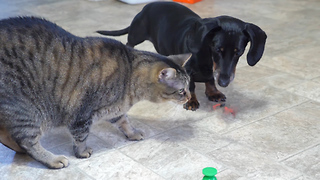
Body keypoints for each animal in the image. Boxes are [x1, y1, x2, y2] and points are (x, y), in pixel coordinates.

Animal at [0, 16, 190, 169]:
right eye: (181, 90)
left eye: (189, 86)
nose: (189, 97)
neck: (130, 73)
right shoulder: (81, 114)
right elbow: (81, 136)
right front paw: (82, 152)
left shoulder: (115, 109)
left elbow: (124, 121)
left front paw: (132, 132)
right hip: (26, 111)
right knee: (28, 143)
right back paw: (53, 159)